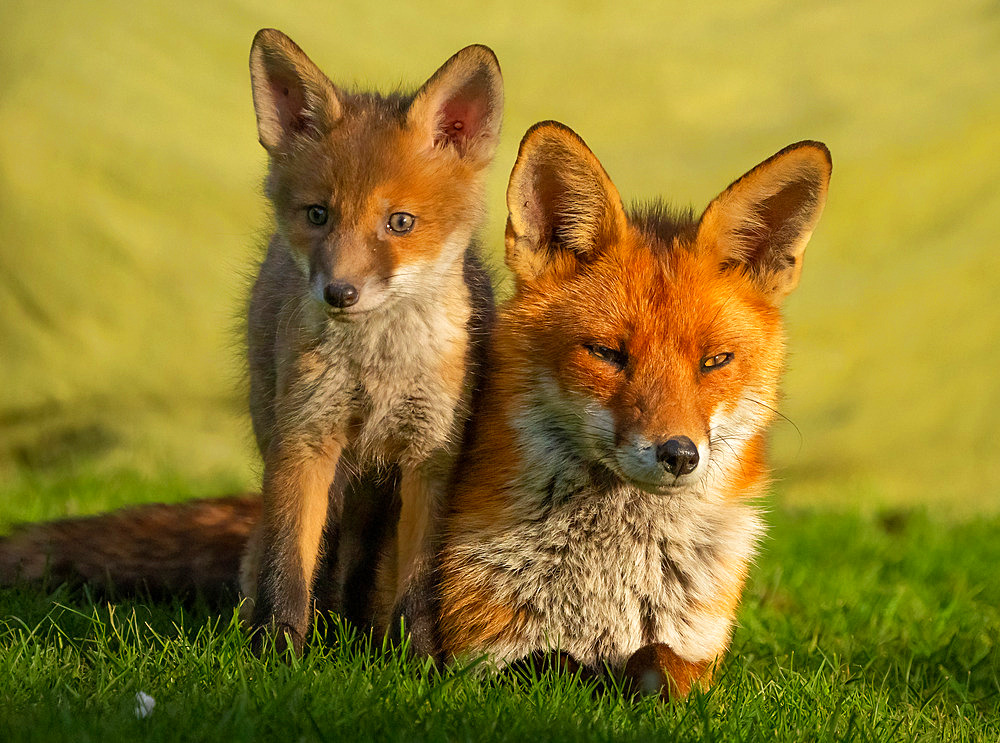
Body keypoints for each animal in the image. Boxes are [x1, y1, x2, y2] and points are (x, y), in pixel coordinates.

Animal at [0, 32, 500, 652]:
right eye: (318, 214)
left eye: (400, 223)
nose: (340, 293)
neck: (376, 370)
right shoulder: (303, 438)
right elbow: (287, 564)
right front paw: (278, 650)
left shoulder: (430, 455)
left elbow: (420, 581)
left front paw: (422, 660)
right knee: (292, 560)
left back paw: (360, 636)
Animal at [402, 120, 832, 696]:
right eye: (607, 353)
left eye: (714, 361)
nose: (680, 454)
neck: (610, 581)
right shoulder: (483, 655)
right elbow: (552, 665)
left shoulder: (698, 651)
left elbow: (659, 667)